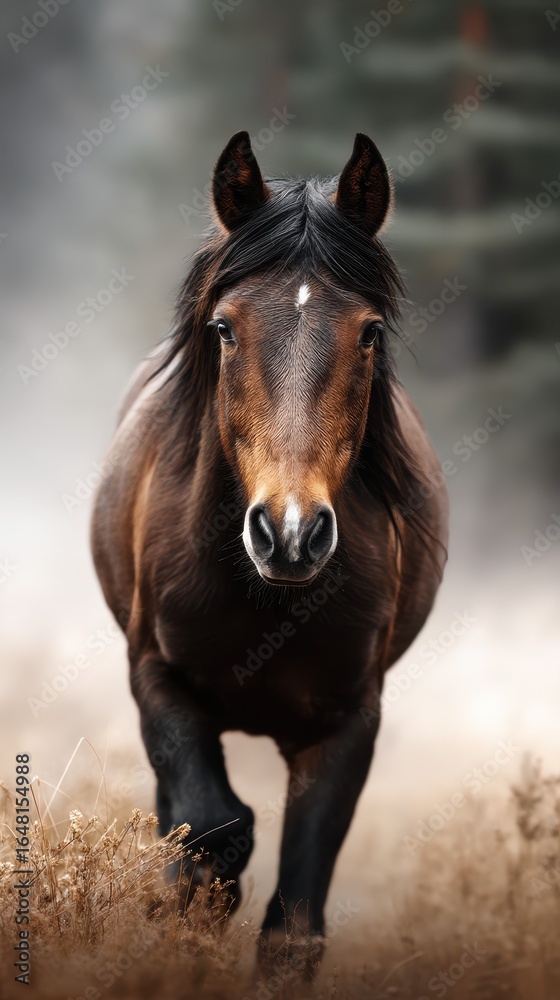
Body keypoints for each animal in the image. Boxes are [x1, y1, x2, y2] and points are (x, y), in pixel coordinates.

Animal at [91, 131, 448, 958]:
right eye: (224, 328)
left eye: (370, 332)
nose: (289, 535)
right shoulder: (157, 677)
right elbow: (211, 830)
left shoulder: (349, 721)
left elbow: (293, 929)